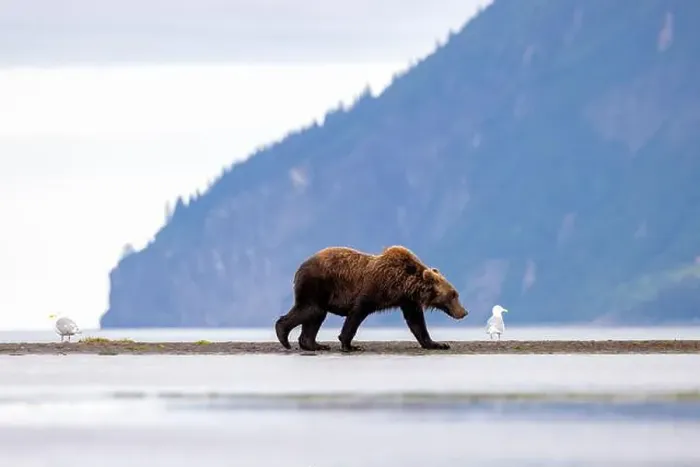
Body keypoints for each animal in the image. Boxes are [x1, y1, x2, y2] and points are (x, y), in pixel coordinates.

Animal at [274, 245, 468, 352]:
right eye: (453, 294)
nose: (464, 312)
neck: (402, 284)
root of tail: (299, 267)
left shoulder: (407, 300)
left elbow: (416, 322)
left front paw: (438, 344)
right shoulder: (373, 289)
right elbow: (357, 313)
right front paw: (350, 345)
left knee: (316, 316)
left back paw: (315, 344)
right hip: (317, 285)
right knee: (311, 310)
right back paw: (283, 335)